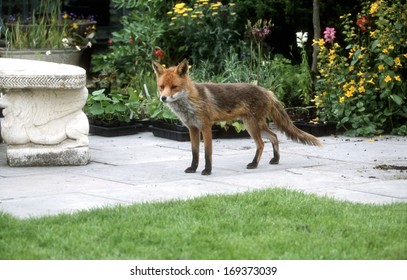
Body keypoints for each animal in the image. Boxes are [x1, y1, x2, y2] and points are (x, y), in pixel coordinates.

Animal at [153, 59, 322, 175]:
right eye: (161, 87)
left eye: (174, 87)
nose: (163, 98)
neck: (190, 102)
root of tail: (267, 91)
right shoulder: (192, 128)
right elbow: (195, 153)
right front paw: (193, 168)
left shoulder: (206, 127)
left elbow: (207, 152)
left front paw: (207, 170)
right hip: (255, 125)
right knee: (274, 136)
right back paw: (275, 160)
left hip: (252, 126)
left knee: (262, 144)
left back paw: (254, 164)